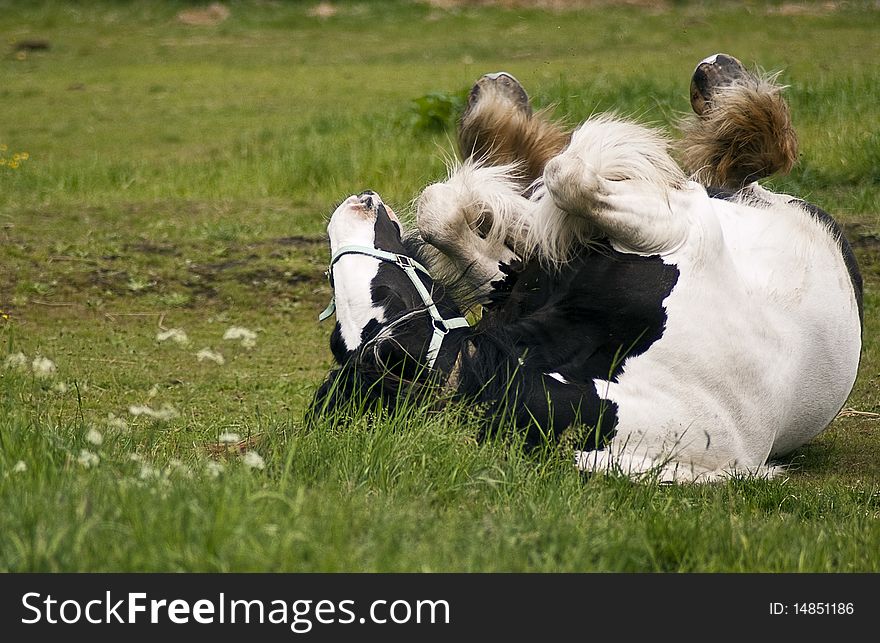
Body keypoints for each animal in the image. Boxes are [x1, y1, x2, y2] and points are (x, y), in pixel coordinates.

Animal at [312, 54, 864, 484]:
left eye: (384, 300)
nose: (356, 203)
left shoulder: (526, 280)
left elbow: (455, 210)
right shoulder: (681, 231)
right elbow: (568, 177)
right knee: (739, 164)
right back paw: (721, 81)